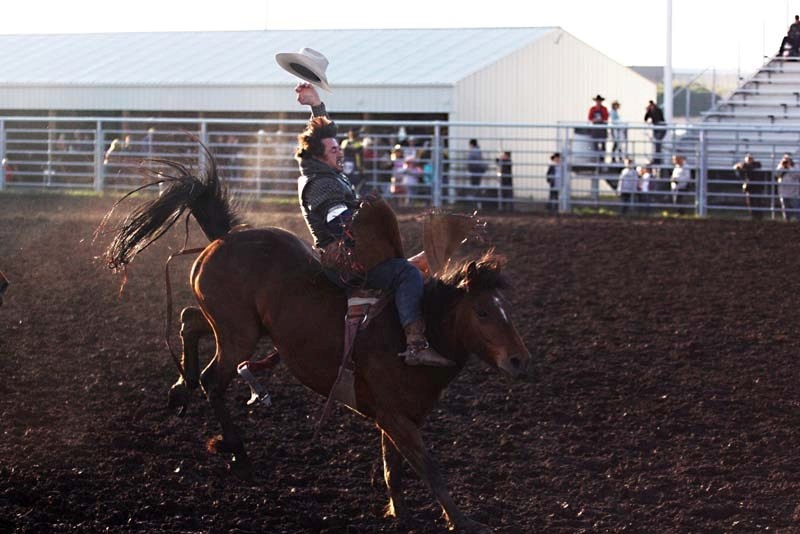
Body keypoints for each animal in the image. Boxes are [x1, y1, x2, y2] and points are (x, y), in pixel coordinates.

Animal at [103, 149, 536, 532]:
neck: (413, 331)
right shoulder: (396, 417)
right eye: (482, 312)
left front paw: (400, 513)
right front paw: (464, 521)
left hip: (238, 326)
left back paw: (181, 388)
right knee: (214, 378)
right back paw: (236, 451)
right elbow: (430, 469)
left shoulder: (396, 417)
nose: (519, 360)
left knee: (190, 321)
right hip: (238, 334)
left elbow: (393, 467)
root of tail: (224, 238)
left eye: (507, 309)